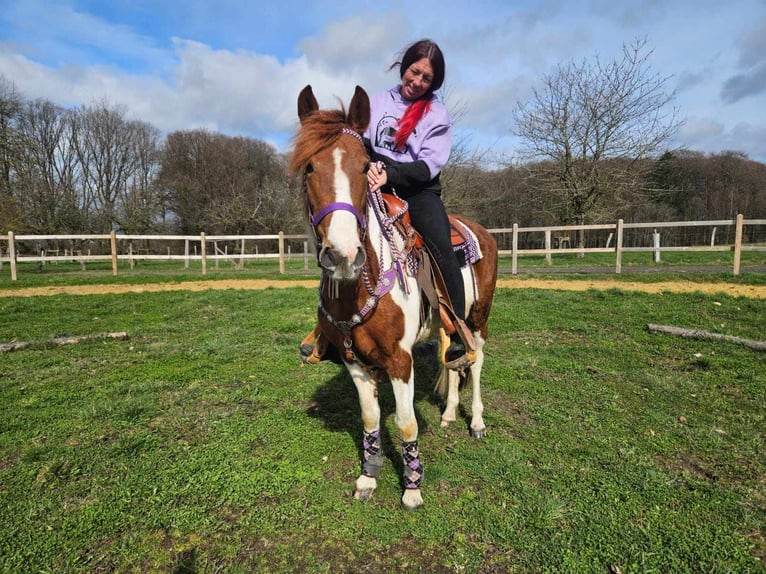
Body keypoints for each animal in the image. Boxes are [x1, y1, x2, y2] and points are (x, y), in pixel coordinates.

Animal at [290, 85, 498, 510]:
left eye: (363, 166)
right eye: (309, 168)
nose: (343, 255)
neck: (358, 288)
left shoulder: (400, 361)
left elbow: (406, 422)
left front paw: (413, 487)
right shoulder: (354, 360)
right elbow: (370, 419)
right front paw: (368, 477)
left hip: (478, 318)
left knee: (477, 361)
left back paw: (476, 421)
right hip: (448, 325)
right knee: (453, 359)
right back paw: (450, 414)